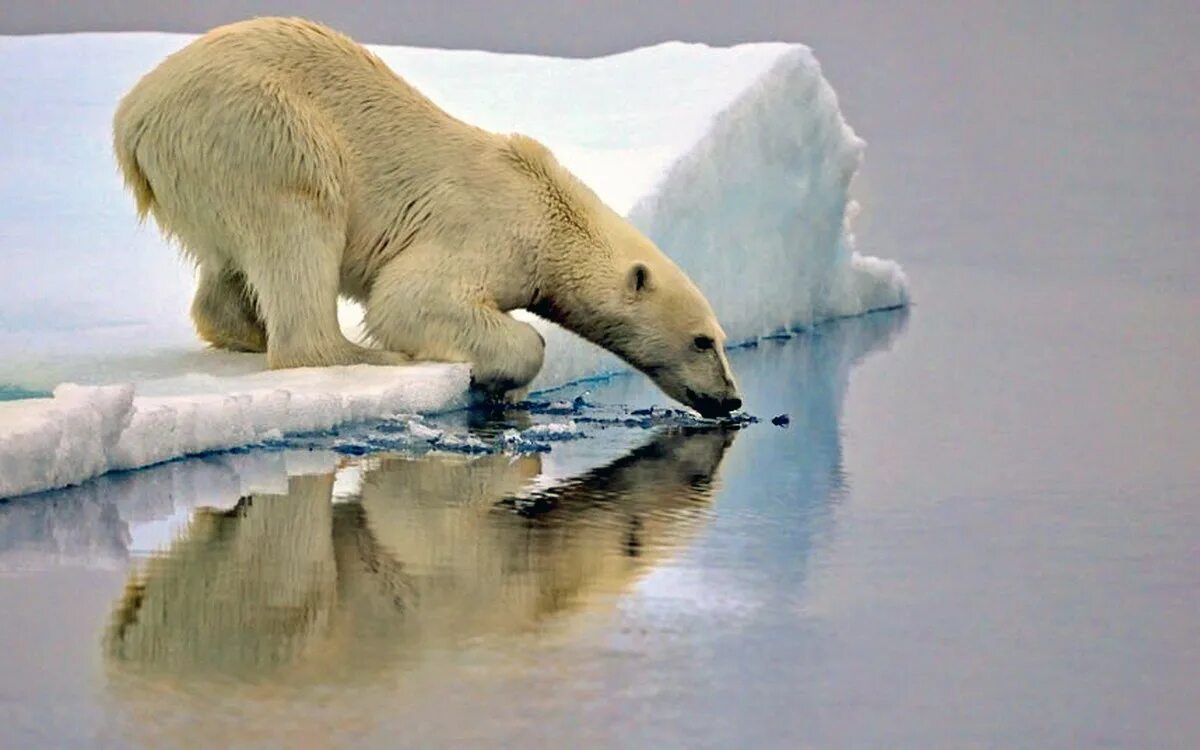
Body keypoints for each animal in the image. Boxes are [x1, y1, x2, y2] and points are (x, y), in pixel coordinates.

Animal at [119, 16, 739, 415]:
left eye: (719, 338)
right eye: (702, 341)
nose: (731, 399)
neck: (548, 210)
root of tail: (134, 118)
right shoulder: (485, 229)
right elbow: (410, 297)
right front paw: (496, 376)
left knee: (228, 264)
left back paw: (245, 329)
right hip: (256, 124)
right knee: (302, 214)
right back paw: (365, 355)